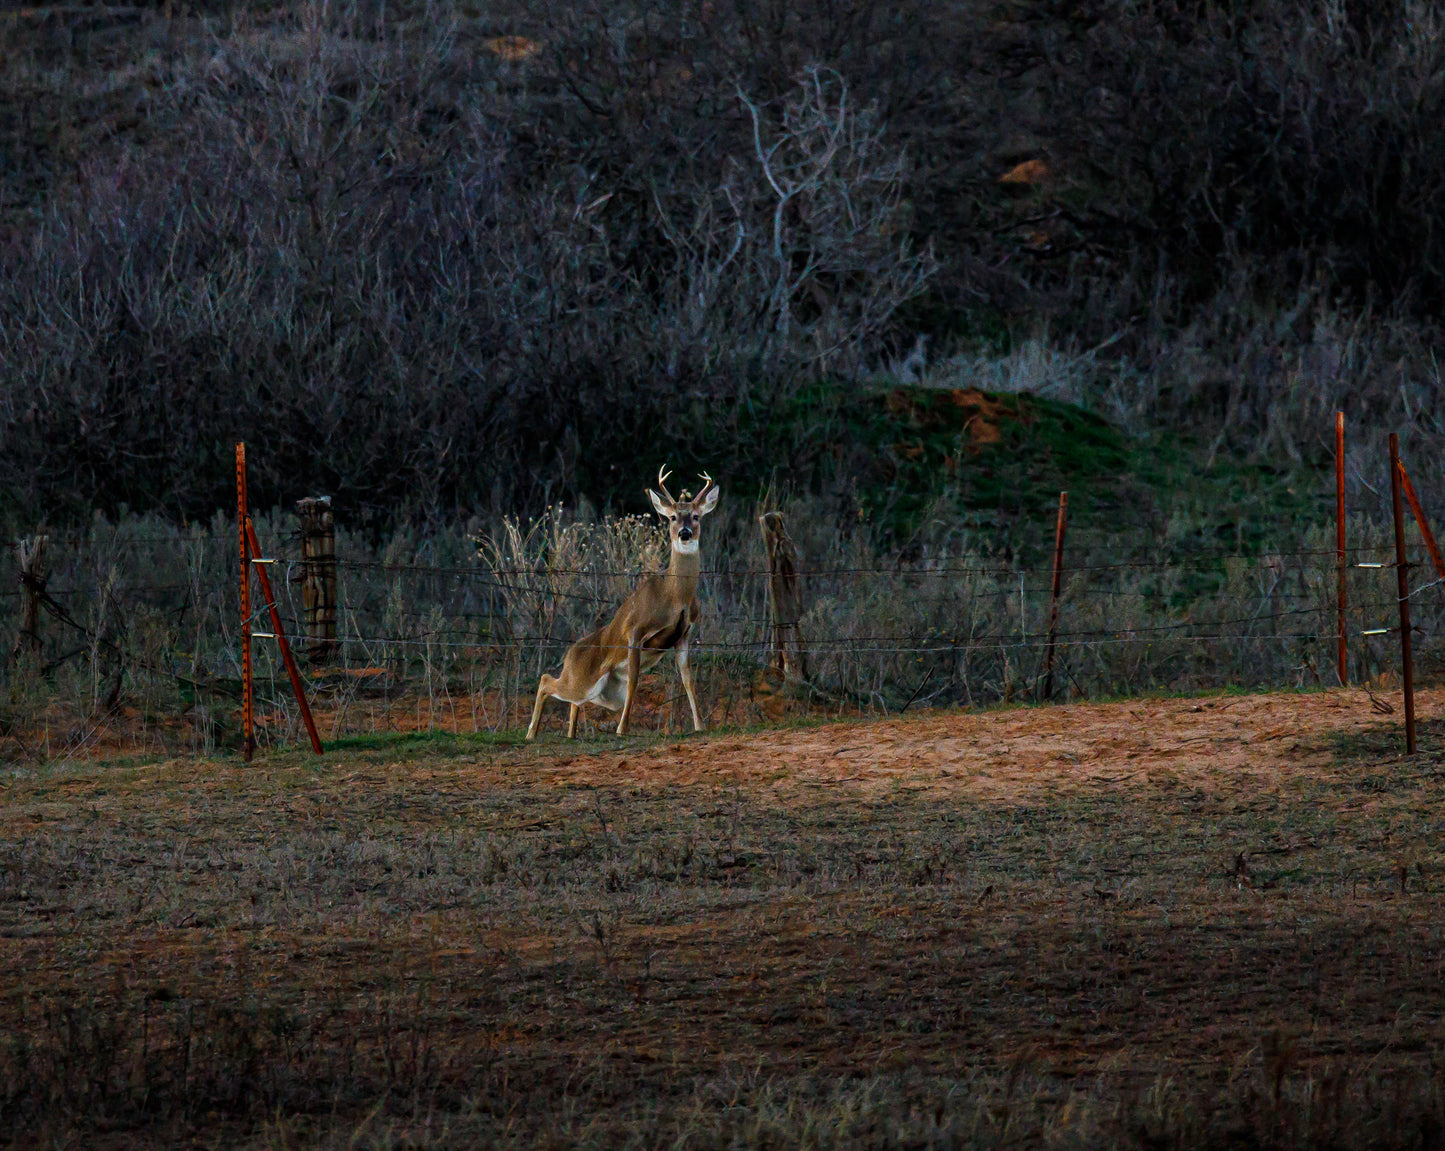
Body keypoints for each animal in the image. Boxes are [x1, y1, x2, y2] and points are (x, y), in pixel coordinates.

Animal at [523, 465, 719, 739]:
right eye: (672, 517)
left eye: (696, 516)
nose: (684, 533)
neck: (674, 596)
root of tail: (570, 654)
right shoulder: (635, 629)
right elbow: (635, 679)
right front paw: (621, 729)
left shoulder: (684, 634)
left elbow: (688, 679)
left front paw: (700, 725)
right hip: (581, 680)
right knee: (545, 680)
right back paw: (530, 734)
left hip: (596, 692)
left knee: (571, 700)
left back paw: (571, 734)